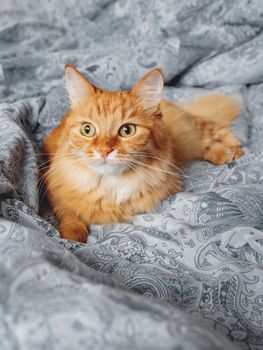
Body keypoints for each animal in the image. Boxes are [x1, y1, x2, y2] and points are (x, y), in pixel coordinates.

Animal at [42, 64, 243, 242]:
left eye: (127, 130)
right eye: (87, 129)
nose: (104, 151)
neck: (109, 187)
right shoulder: (55, 193)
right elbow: (69, 213)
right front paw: (72, 236)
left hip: (193, 131)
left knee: (215, 130)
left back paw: (233, 152)